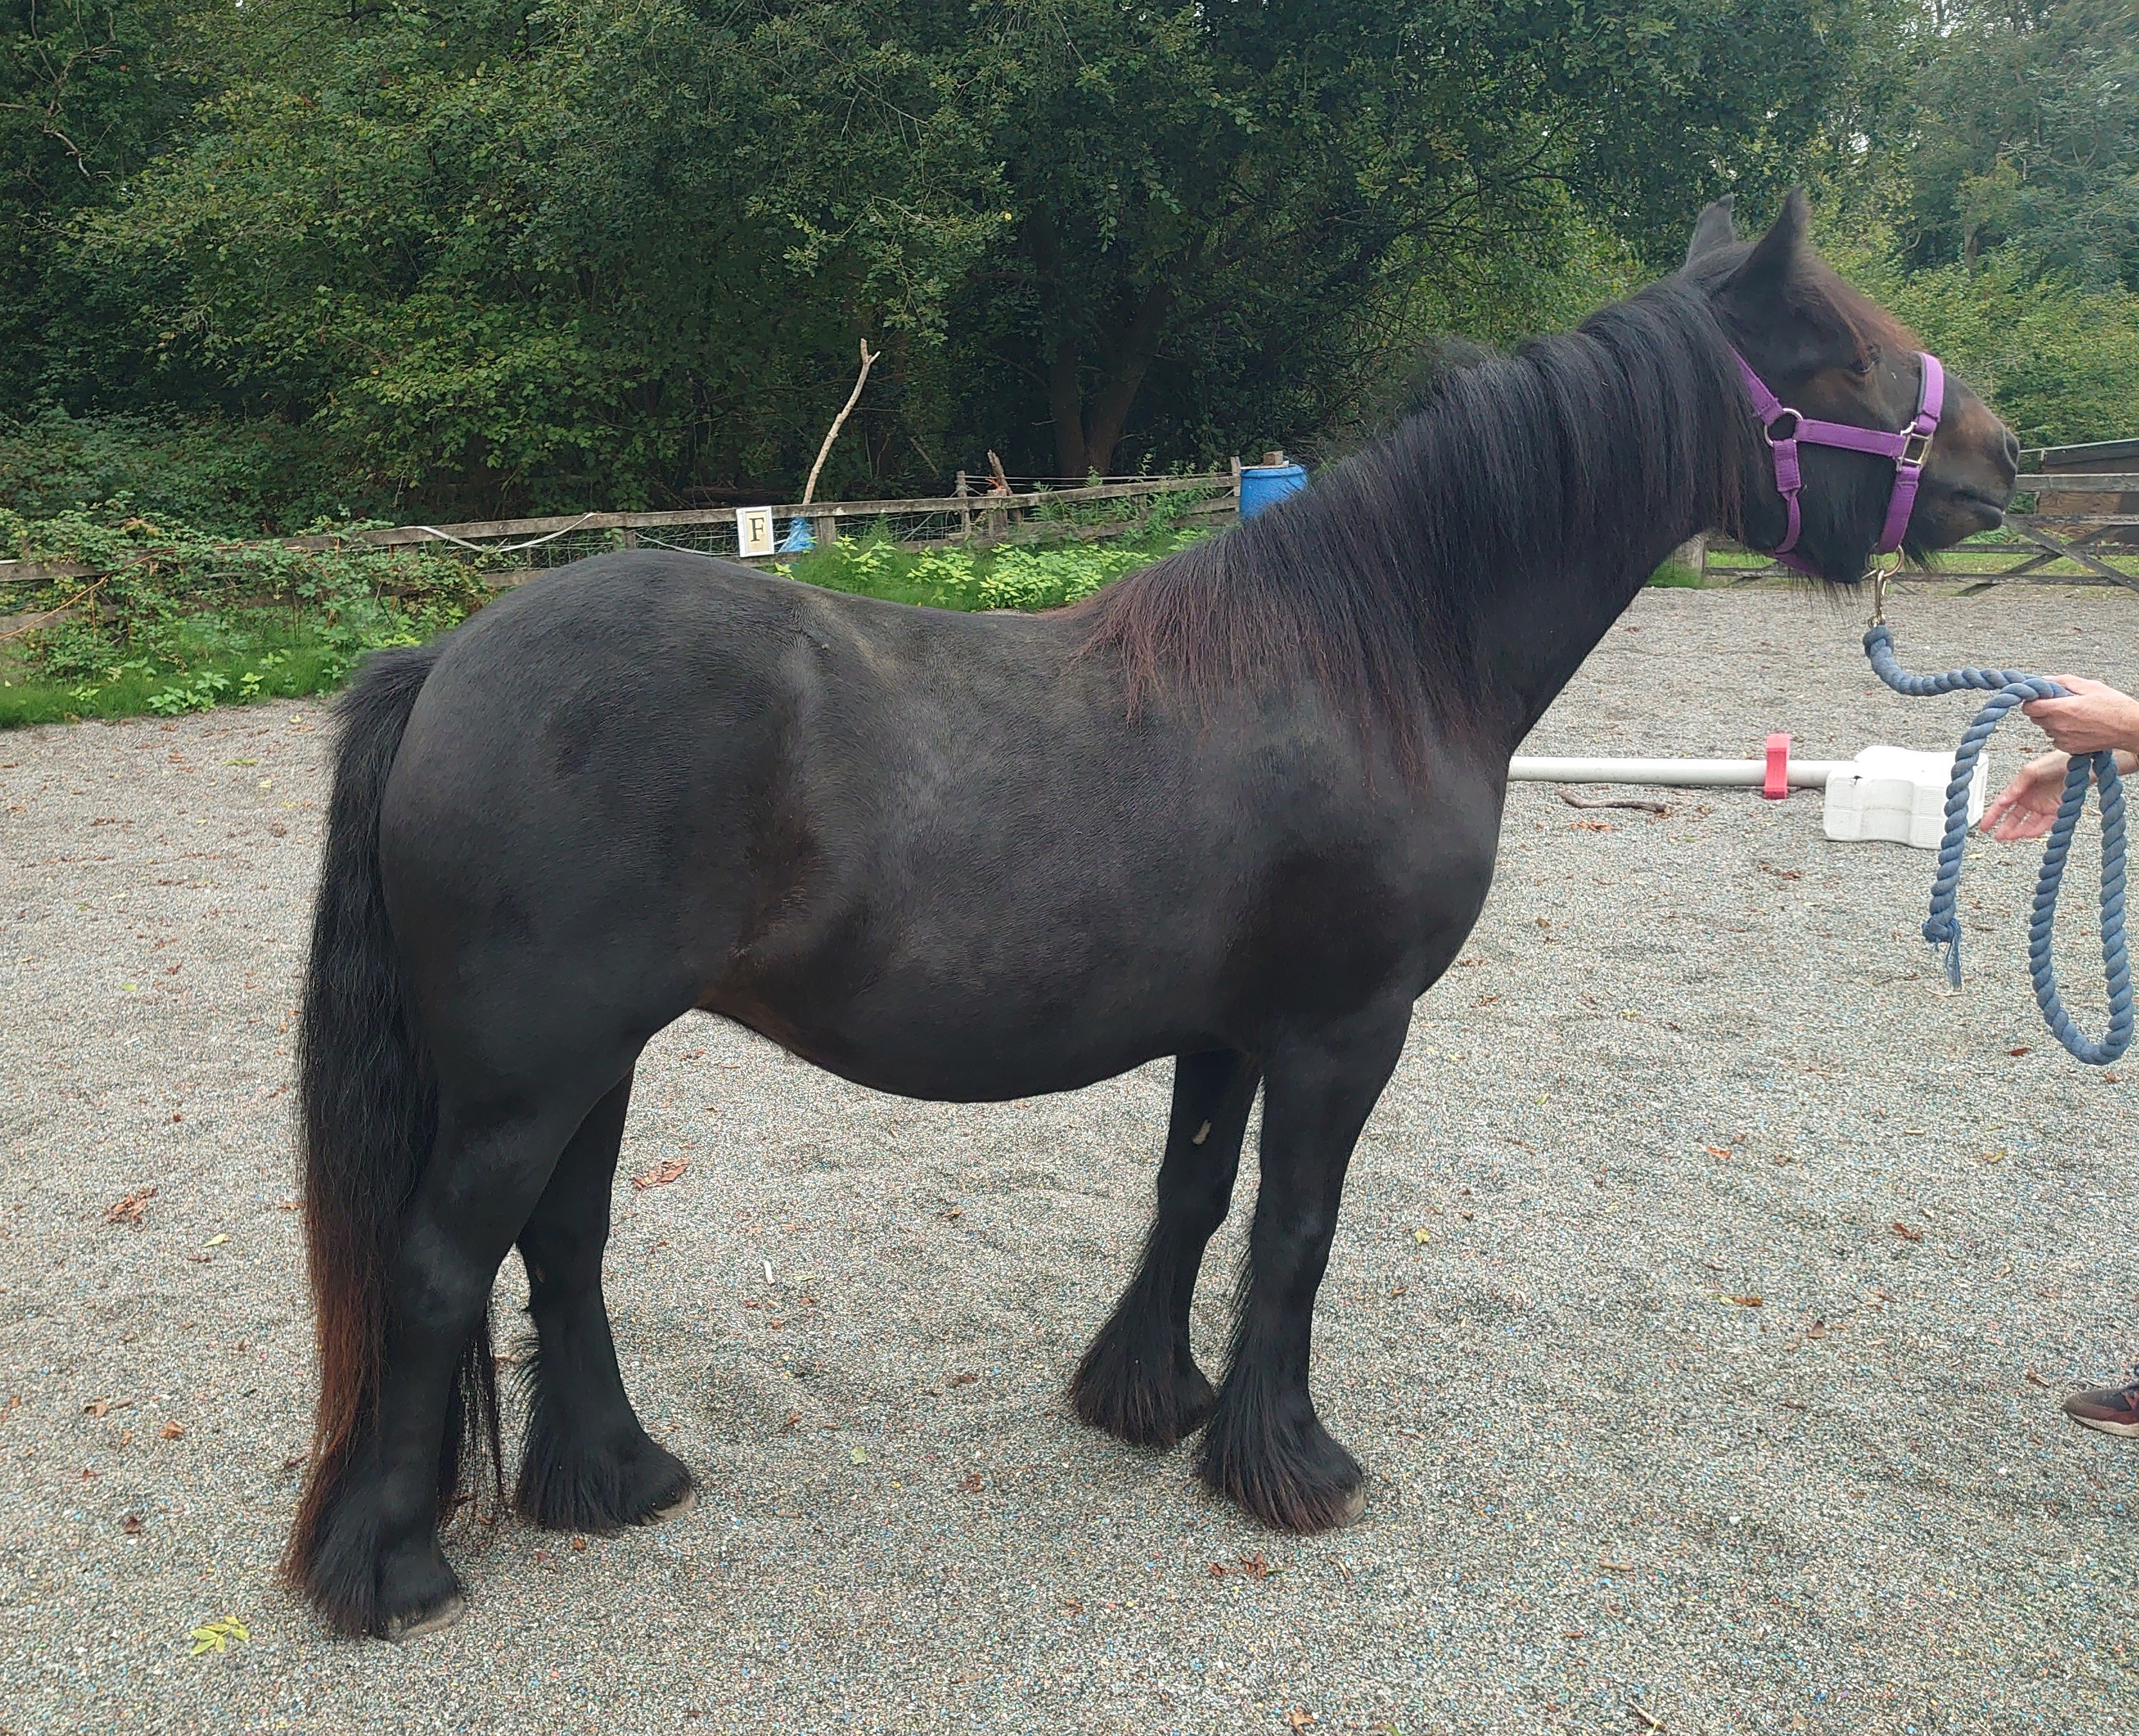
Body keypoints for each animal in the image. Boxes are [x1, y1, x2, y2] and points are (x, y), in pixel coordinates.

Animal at [284, 189, 2020, 1639]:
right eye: (1843, 353)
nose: (2002, 461)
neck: (1375, 659)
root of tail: (447, 659)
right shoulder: (1344, 1031)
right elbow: (1295, 1230)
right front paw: (1288, 1460)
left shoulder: (1228, 1029)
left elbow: (1191, 1198)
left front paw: (1147, 1397)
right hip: (531, 1073)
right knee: (439, 1267)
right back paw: (392, 1569)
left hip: (591, 1061)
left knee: (562, 1245)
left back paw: (614, 1478)